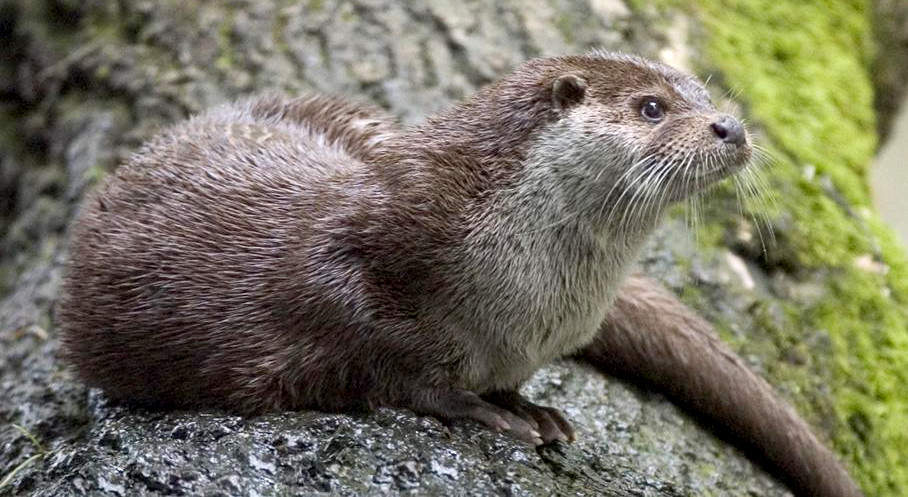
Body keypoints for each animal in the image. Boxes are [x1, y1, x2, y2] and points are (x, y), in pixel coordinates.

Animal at [56, 53, 864, 496]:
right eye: (651, 107)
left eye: (703, 94)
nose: (731, 127)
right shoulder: (360, 270)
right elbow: (389, 362)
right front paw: (486, 411)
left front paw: (528, 405)